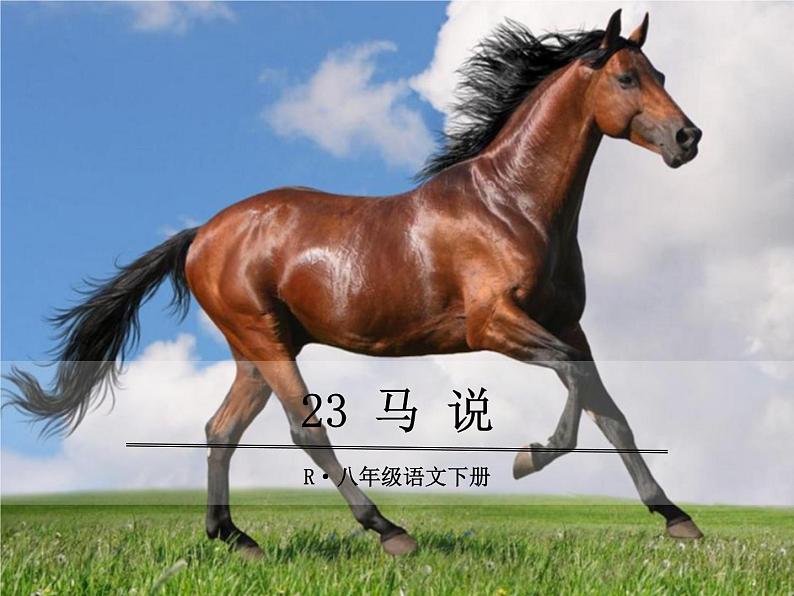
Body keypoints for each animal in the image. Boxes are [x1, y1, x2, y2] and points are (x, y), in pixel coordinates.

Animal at [5, 10, 704, 558]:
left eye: (662, 76)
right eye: (626, 77)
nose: (688, 137)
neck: (513, 205)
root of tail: (203, 232)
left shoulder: (568, 324)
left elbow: (612, 413)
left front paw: (677, 519)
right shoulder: (495, 324)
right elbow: (578, 392)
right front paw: (528, 458)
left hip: (255, 351)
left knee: (220, 429)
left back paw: (236, 537)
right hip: (265, 340)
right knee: (304, 430)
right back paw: (389, 531)